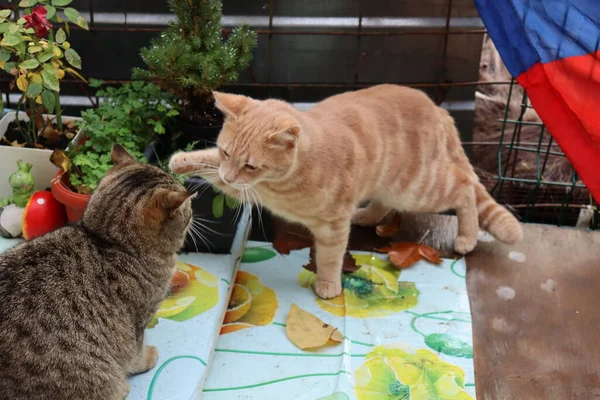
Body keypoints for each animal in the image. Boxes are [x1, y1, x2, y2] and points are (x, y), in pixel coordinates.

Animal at [0, 145, 193, 398]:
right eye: (188, 210)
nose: (194, 208)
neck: (107, 241)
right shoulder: (137, 323)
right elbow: (136, 354)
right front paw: (147, 358)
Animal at [171, 86, 524, 300]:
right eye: (226, 152)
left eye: (251, 166)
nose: (230, 175)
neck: (283, 183)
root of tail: (436, 107)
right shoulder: (234, 181)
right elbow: (206, 163)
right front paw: (180, 160)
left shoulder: (331, 226)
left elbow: (330, 257)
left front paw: (328, 284)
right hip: (388, 185)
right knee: (383, 202)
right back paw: (364, 215)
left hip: (416, 189)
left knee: (464, 187)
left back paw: (467, 236)